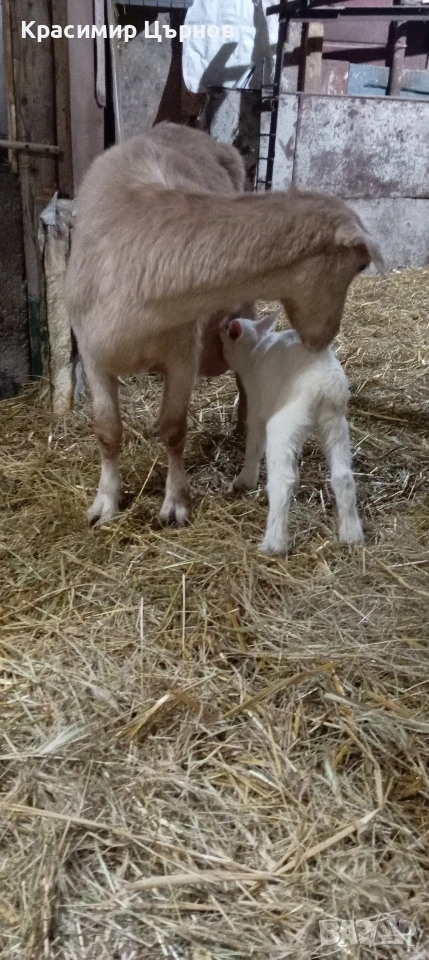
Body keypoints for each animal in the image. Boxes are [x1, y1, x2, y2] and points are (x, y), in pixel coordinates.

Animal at [65, 122, 383, 527]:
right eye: (359, 265)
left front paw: (176, 503)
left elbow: (175, 429)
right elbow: (108, 432)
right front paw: (105, 502)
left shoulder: (183, 354)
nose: (324, 337)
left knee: (245, 378)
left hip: (241, 308)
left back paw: (243, 425)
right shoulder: (93, 356)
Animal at [220, 313, 364, 555]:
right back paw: (351, 534)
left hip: (285, 422)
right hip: (335, 423)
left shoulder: (257, 405)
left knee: (283, 479)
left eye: (223, 336)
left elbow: (254, 445)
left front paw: (245, 480)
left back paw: (273, 543)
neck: (255, 349)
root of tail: (325, 388)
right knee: (343, 476)